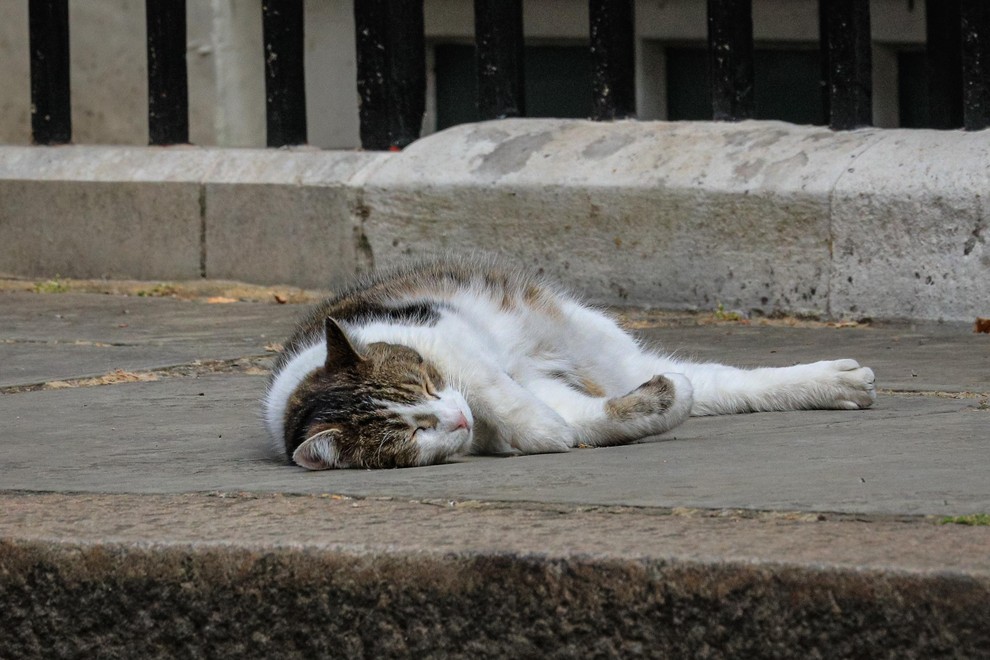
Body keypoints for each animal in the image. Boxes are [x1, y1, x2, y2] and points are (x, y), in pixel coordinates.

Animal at [266, 256, 876, 470]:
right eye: (412, 435)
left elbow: (496, 389)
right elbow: (584, 421)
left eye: (425, 384)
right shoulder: (548, 395)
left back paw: (837, 380)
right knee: (716, 386)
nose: (457, 419)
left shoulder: (448, 341)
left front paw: (542, 428)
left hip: (591, 337)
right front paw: (654, 404)